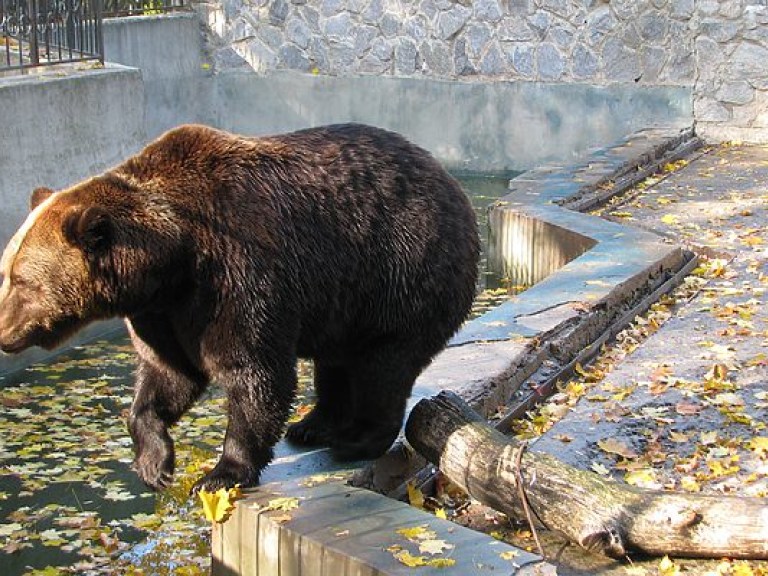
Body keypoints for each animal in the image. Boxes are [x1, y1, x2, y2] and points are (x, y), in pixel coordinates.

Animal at [0, 124, 480, 492]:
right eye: (6, 270)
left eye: (22, 281)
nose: (4, 333)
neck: (174, 261)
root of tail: (452, 184)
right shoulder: (163, 314)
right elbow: (168, 376)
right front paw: (155, 463)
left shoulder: (238, 274)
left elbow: (254, 373)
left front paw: (221, 473)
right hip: (343, 302)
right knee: (336, 363)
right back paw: (312, 424)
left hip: (401, 271)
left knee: (382, 367)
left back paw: (355, 438)